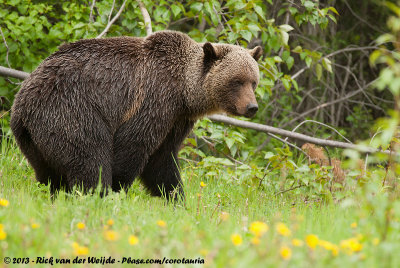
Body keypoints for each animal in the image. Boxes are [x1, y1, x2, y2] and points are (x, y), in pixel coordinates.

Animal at [10, 30, 262, 200]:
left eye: (253, 81)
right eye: (236, 81)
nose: (252, 107)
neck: (184, 92)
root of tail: (22, 102)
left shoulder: (177, 119)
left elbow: (162, 161)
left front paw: (176, 198)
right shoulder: (153, 101)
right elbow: (132, 146)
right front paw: (118, 189)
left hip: (33, 140)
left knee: (49, 174)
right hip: (71, 110)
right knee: (89, 158)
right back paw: (97, 195)